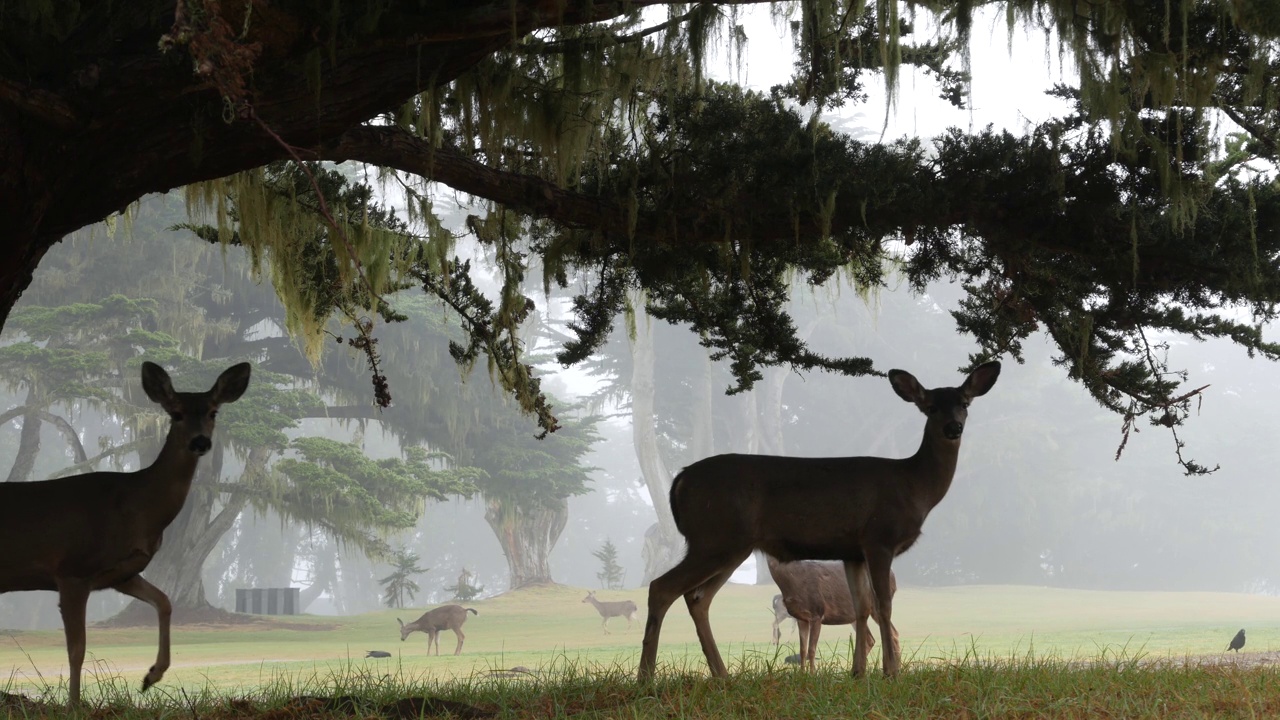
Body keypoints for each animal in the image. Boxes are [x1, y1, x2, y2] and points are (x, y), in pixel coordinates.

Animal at [0, 358, 250, 702]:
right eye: (176, 413)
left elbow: (164, 601)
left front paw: (151, 676)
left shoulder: (121, 574)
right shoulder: (73, 569)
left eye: (213, 412)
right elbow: (77, 649)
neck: (136, 508)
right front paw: (74, 705)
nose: (200, 441)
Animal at [768, 556, 901, 666]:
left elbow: (811, 649)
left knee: (894, 633)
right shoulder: (801, 618)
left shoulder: (817, 613)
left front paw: (812, 675)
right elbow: (802, 650)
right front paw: (802, 675)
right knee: (870, 640)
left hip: (876, 606)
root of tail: (894, 576)